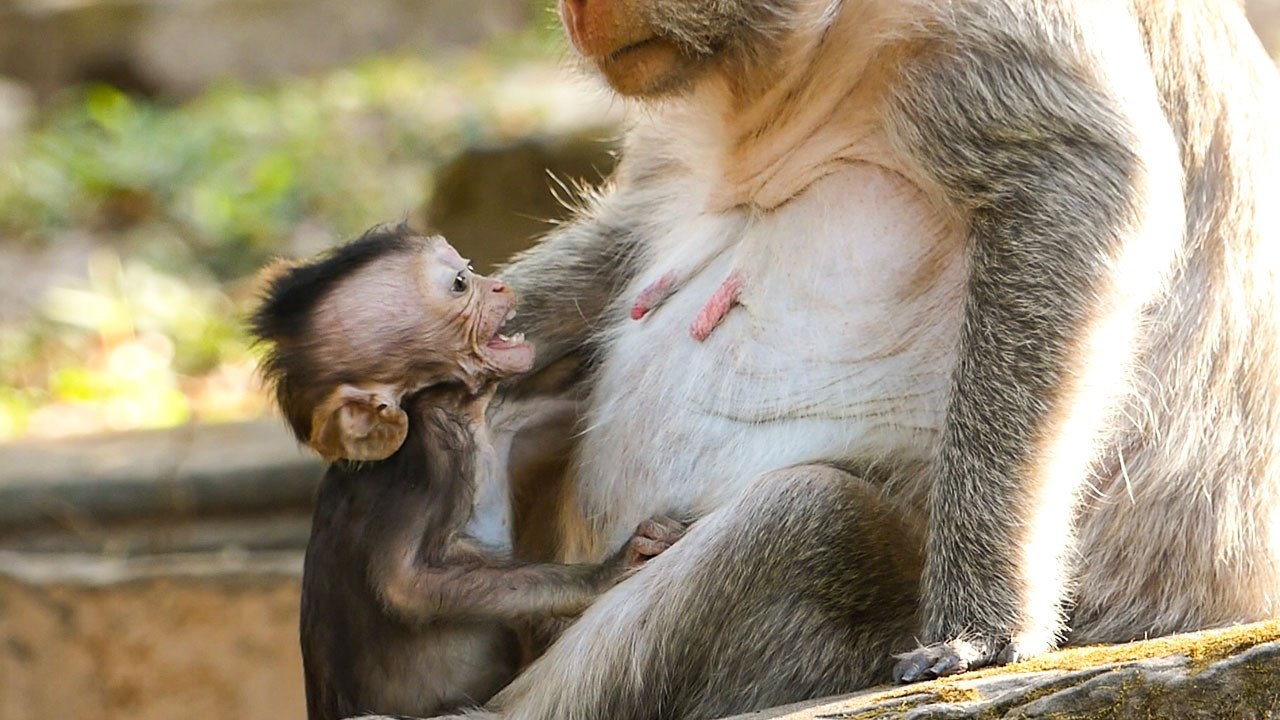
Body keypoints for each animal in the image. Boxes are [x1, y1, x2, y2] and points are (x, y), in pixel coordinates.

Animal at [248, 225, 687, 720]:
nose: (496, 286)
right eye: (460, 283)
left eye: (469, 269)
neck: (448, 408)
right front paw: (609, 571)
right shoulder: (431, 463)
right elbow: (408, 585)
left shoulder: (502, 419)